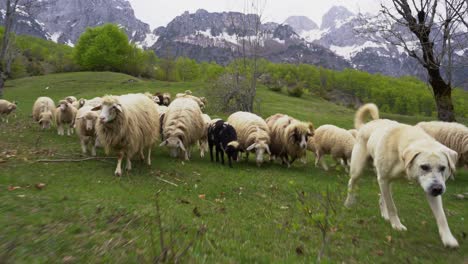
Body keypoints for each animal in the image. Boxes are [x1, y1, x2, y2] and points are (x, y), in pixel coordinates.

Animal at [346, 104, 458, 249]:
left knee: (382, 197)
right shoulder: (383, 179)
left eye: (443, 168)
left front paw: (448, 239)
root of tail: (366, 125)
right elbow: (392, 206)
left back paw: (385, 215)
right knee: (352, 183)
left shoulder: (430, 189)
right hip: (358, 169)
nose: (438, 189)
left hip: (387, 182)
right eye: (424, 167)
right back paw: (349, 203)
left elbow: (441, 216)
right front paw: (397, 226)